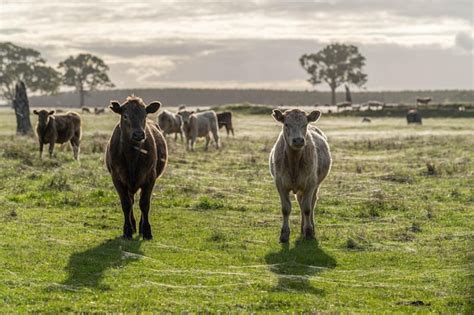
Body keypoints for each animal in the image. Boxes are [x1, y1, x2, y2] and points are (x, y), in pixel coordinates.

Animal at [105, 95, 168, 239]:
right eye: (125, 116)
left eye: (144, 115)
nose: (138, 134)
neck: (132, 157)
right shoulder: (117, 178)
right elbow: (126, 204)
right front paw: (127, 230)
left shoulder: (150, 177)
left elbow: (144, 204)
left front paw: (147, 231)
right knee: (131, 201)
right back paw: (133, 226)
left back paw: (139, 227)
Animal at [268, 110, 332, 243]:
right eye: (286, 124)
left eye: (305, 124)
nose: (298, 140)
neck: (294, 164)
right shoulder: (280, 184)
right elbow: (286, 209)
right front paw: (284, 235)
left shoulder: (310, 184)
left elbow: (307, 208)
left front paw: (309, 231)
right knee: (300, 202)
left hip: (315, 185)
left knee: (311, 204)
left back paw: (309, 227)